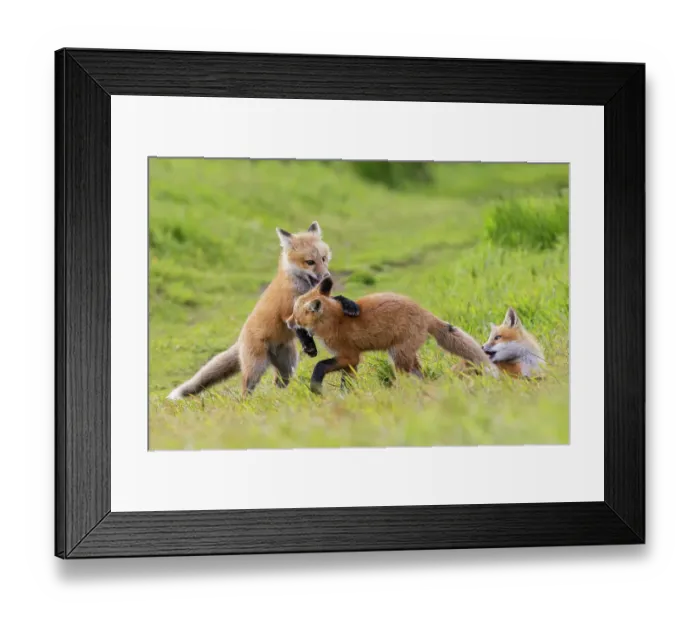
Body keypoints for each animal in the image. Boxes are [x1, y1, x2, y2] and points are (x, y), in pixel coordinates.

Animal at [166, 221, 360, 400]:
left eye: (324, 258)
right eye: (310, 262)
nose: (327, 276)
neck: (302, 287)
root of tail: (240, 339)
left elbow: (337, 300)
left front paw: (350, 305)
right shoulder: (289, 312)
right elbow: (298, 326)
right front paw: (309, 346)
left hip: (288, 365)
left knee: (278, 383)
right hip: (256, 368)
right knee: (245, 390)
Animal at [285, 276, 499, 395]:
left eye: (296, 315)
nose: (287, 321)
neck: (334, 320)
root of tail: (424, 312)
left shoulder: (349, 355)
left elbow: (320, 366)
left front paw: (316, 389)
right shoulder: (350, 360)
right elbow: (347, 382)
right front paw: (347, 397)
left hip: (398, 356)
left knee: (408, 378)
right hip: (406, 356)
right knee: (421, 375)